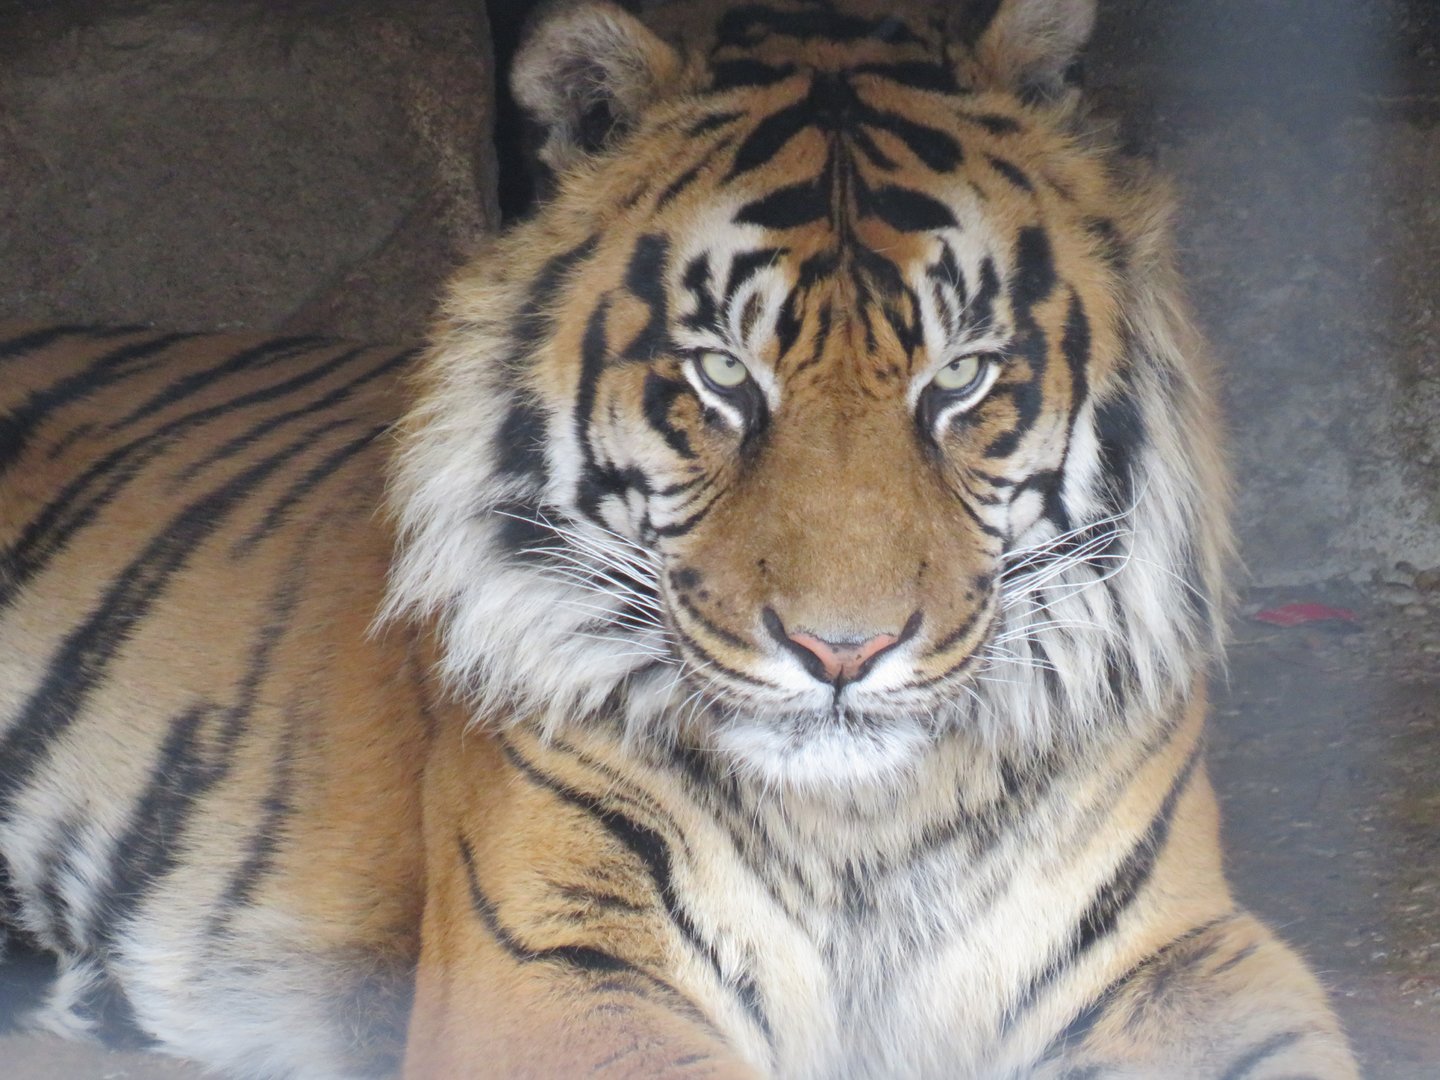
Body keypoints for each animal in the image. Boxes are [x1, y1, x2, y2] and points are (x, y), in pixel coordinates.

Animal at [0, 0, 1361, 1077]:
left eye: (962, 379)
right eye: (722, 377)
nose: (841, 654)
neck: (863, 833)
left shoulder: (1180, 950)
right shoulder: (557, 961)